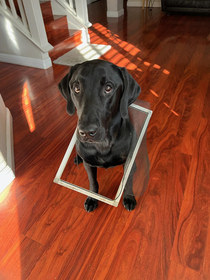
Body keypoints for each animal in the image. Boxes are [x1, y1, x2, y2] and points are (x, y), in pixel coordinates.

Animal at [58, 59, 141, 212]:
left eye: (108, 88)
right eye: (76, 88)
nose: (86, 132)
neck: (104, 144)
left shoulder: (128, 161)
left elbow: (128, 180)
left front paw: (129, 196)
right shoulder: (89, 164)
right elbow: (93, 182)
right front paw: (92, 198)